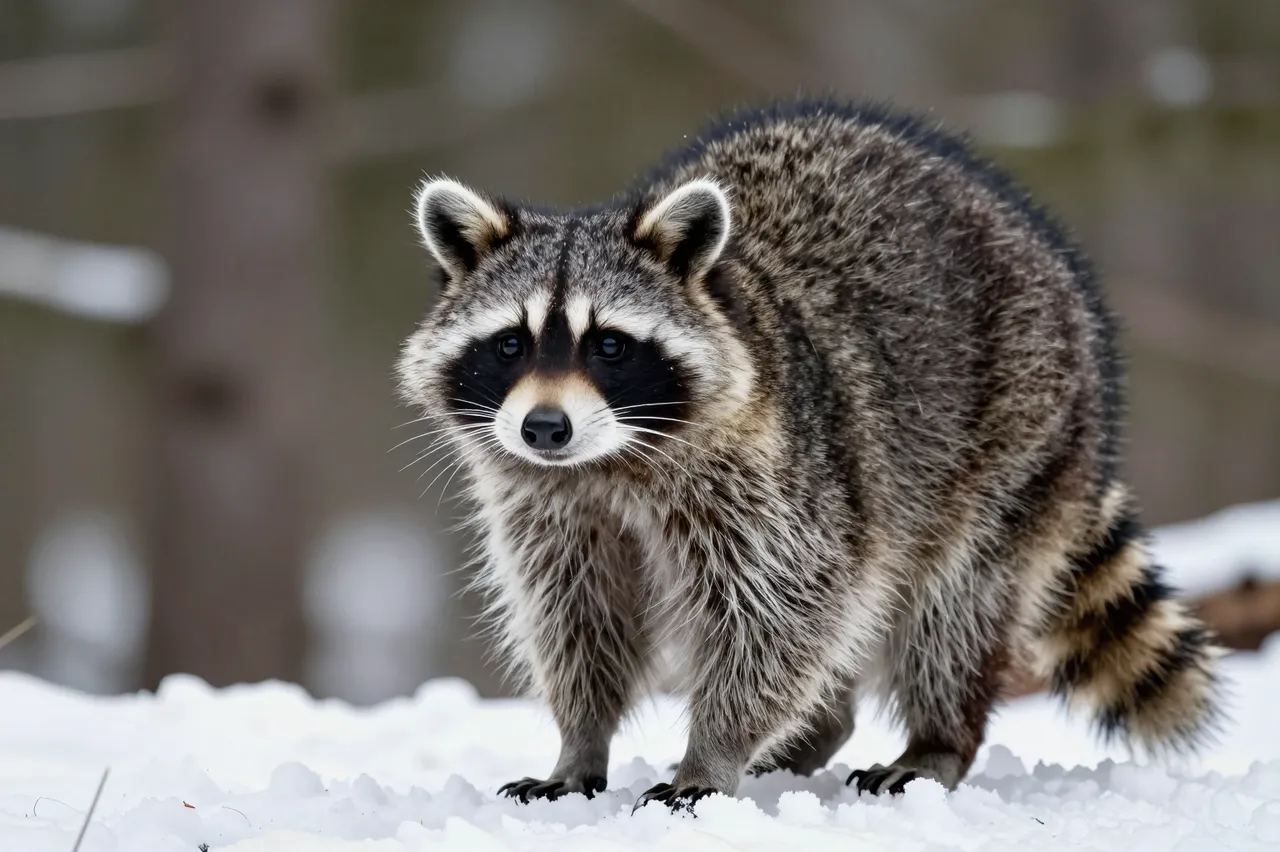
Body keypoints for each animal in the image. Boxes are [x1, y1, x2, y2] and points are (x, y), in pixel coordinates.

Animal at [395, 99, 1224, 812]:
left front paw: (712, 752)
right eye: (510, 344)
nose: (545, 428)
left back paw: (938, 737)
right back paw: (814, 734)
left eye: (610, 346)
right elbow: (575, 616)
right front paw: (580, 742)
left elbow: (778, 615)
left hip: (1015, 429)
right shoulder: (549, 506)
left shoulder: (778, 477)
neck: (609, 463)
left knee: (953, 606)